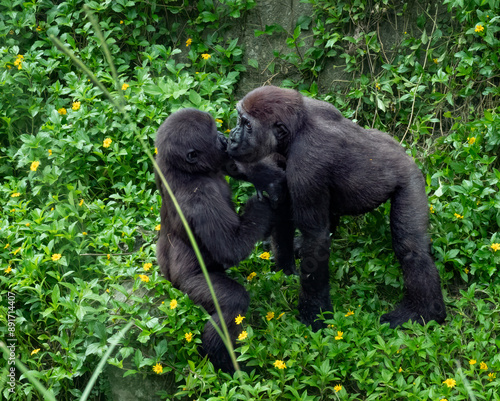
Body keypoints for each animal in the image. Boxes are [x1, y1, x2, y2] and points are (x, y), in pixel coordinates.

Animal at [154, 108, 284, 370]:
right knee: (231, 303)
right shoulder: (201, 199)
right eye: (214, 136)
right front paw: (261, 206)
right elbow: (230, 249)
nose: (225, 139)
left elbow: (232, 165)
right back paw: (223, 362)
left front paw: (267, 178)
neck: (186, 171)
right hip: (187, 286)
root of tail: (169, 281)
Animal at [229, 86, 448, 330]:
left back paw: (424, 311)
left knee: (411, 248)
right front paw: (285, 270)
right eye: (239, 120)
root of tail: (409, 158)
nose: (232, 136)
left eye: (247, 125)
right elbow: (282, 199)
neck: (297, 129)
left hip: (410, 181)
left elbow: (315, 238)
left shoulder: (307, 164)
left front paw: (313, 315)